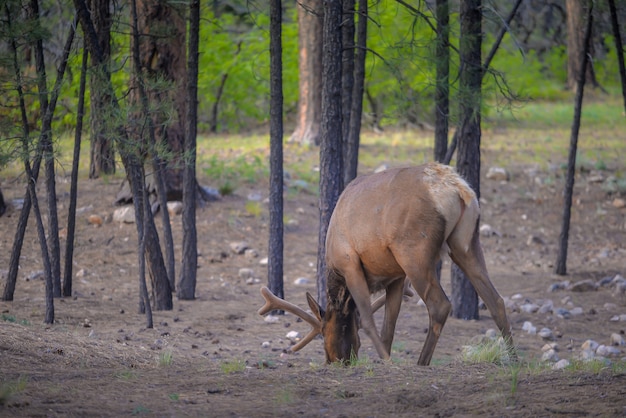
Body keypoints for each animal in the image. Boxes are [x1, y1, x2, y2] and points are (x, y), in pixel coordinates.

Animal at [258, 162, 512, 364]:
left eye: (324, 333)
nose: (334, 361)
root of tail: (459, 189)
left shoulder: (350, 264)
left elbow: (368, 320)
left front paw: (387, 361)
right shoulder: (395, 277)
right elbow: (388, 327)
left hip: (414, 253)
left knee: (440, 305)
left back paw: (421, 363)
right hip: (465, 244)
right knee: (496, 300)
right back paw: (514, 358)